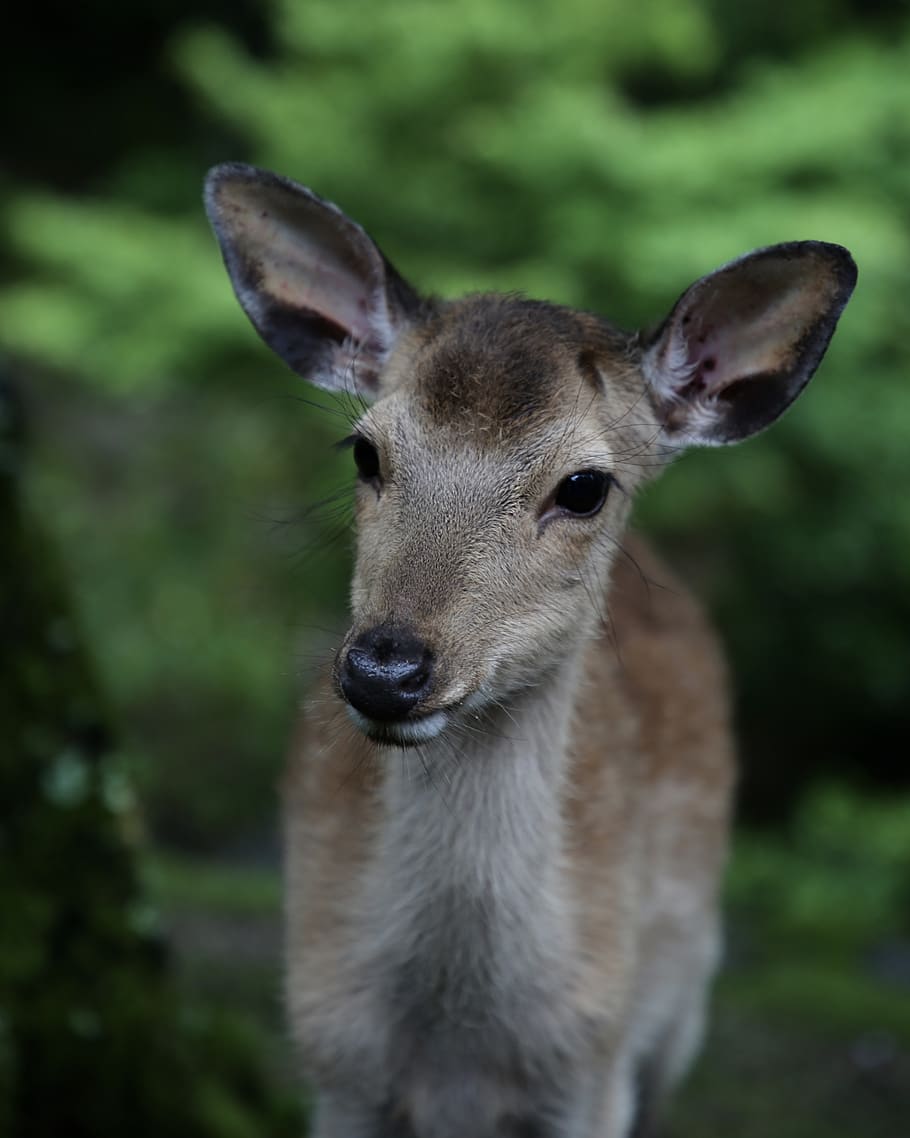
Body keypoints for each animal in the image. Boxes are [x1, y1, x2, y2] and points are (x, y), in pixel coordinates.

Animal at [204, 162, 856, 1138]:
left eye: (584, 486)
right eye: (363, 451)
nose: (386, 668)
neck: (459, 1056)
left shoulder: (595, 1075)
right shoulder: (334, 1068)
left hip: (683, 997)